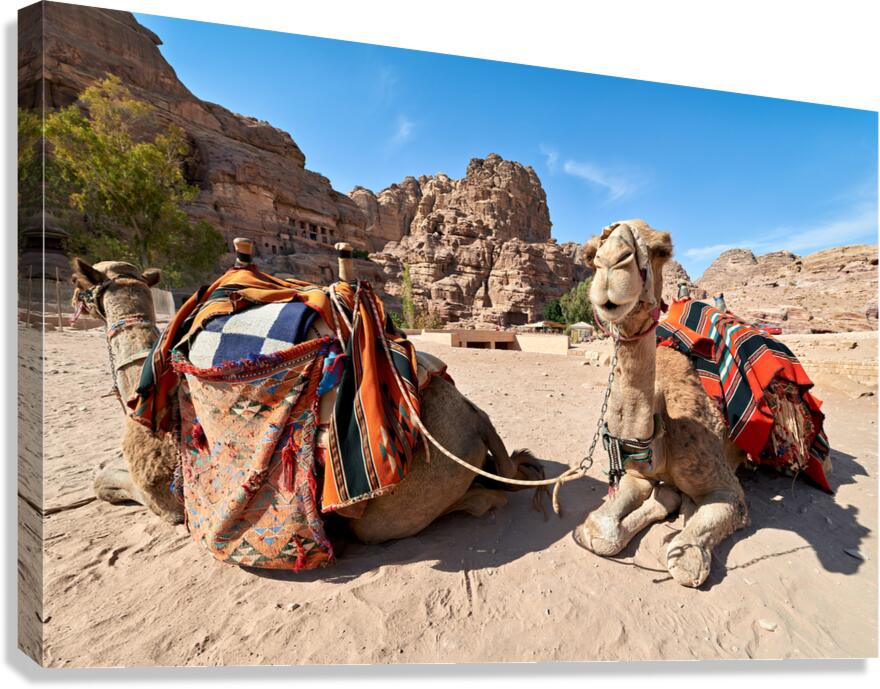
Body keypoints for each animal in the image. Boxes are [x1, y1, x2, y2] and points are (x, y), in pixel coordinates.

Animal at [71, 257, 542, 548]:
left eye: (80, 287)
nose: (74, 298)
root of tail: (474, 419)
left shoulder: (165, 499)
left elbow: (105, 482)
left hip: (392, 513)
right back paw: (522, 461)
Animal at [578, 219, 788, 588]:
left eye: (662, 249)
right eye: (591, 255)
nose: (613, 263)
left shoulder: (727, 490)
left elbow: (686, 560)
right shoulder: (638, 475)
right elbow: (599, 532)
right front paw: (665, 499)